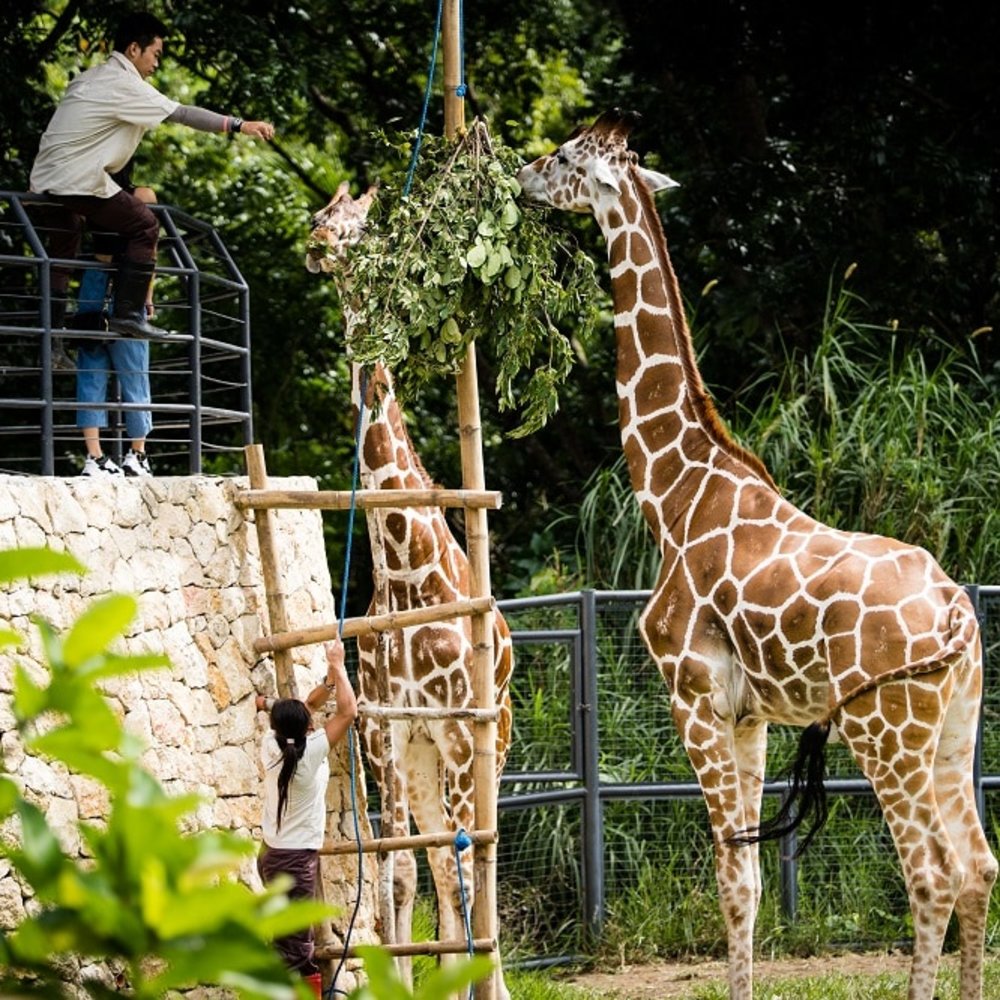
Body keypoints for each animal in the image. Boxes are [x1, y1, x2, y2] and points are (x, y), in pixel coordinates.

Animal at [306, 182, 513, 996]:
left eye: (363, 228)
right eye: (322, 219)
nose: (316, 246)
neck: (401, 568)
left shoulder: (457, 727)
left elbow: (464, 866)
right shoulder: (386, 730)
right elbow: (395, 875)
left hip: (492, 744)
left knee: (480, 856)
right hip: (426, 767)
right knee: (435, 863)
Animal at [517, 110, 996, 1000]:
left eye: (563, 156)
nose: (520, 177)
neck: (672, 494)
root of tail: (955, 609)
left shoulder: (693, 696)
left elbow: (732, 878)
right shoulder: (752, 715)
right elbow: (752, 874)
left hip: (887, 729)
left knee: (933, 874)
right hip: (956, 724)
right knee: (980, 867)